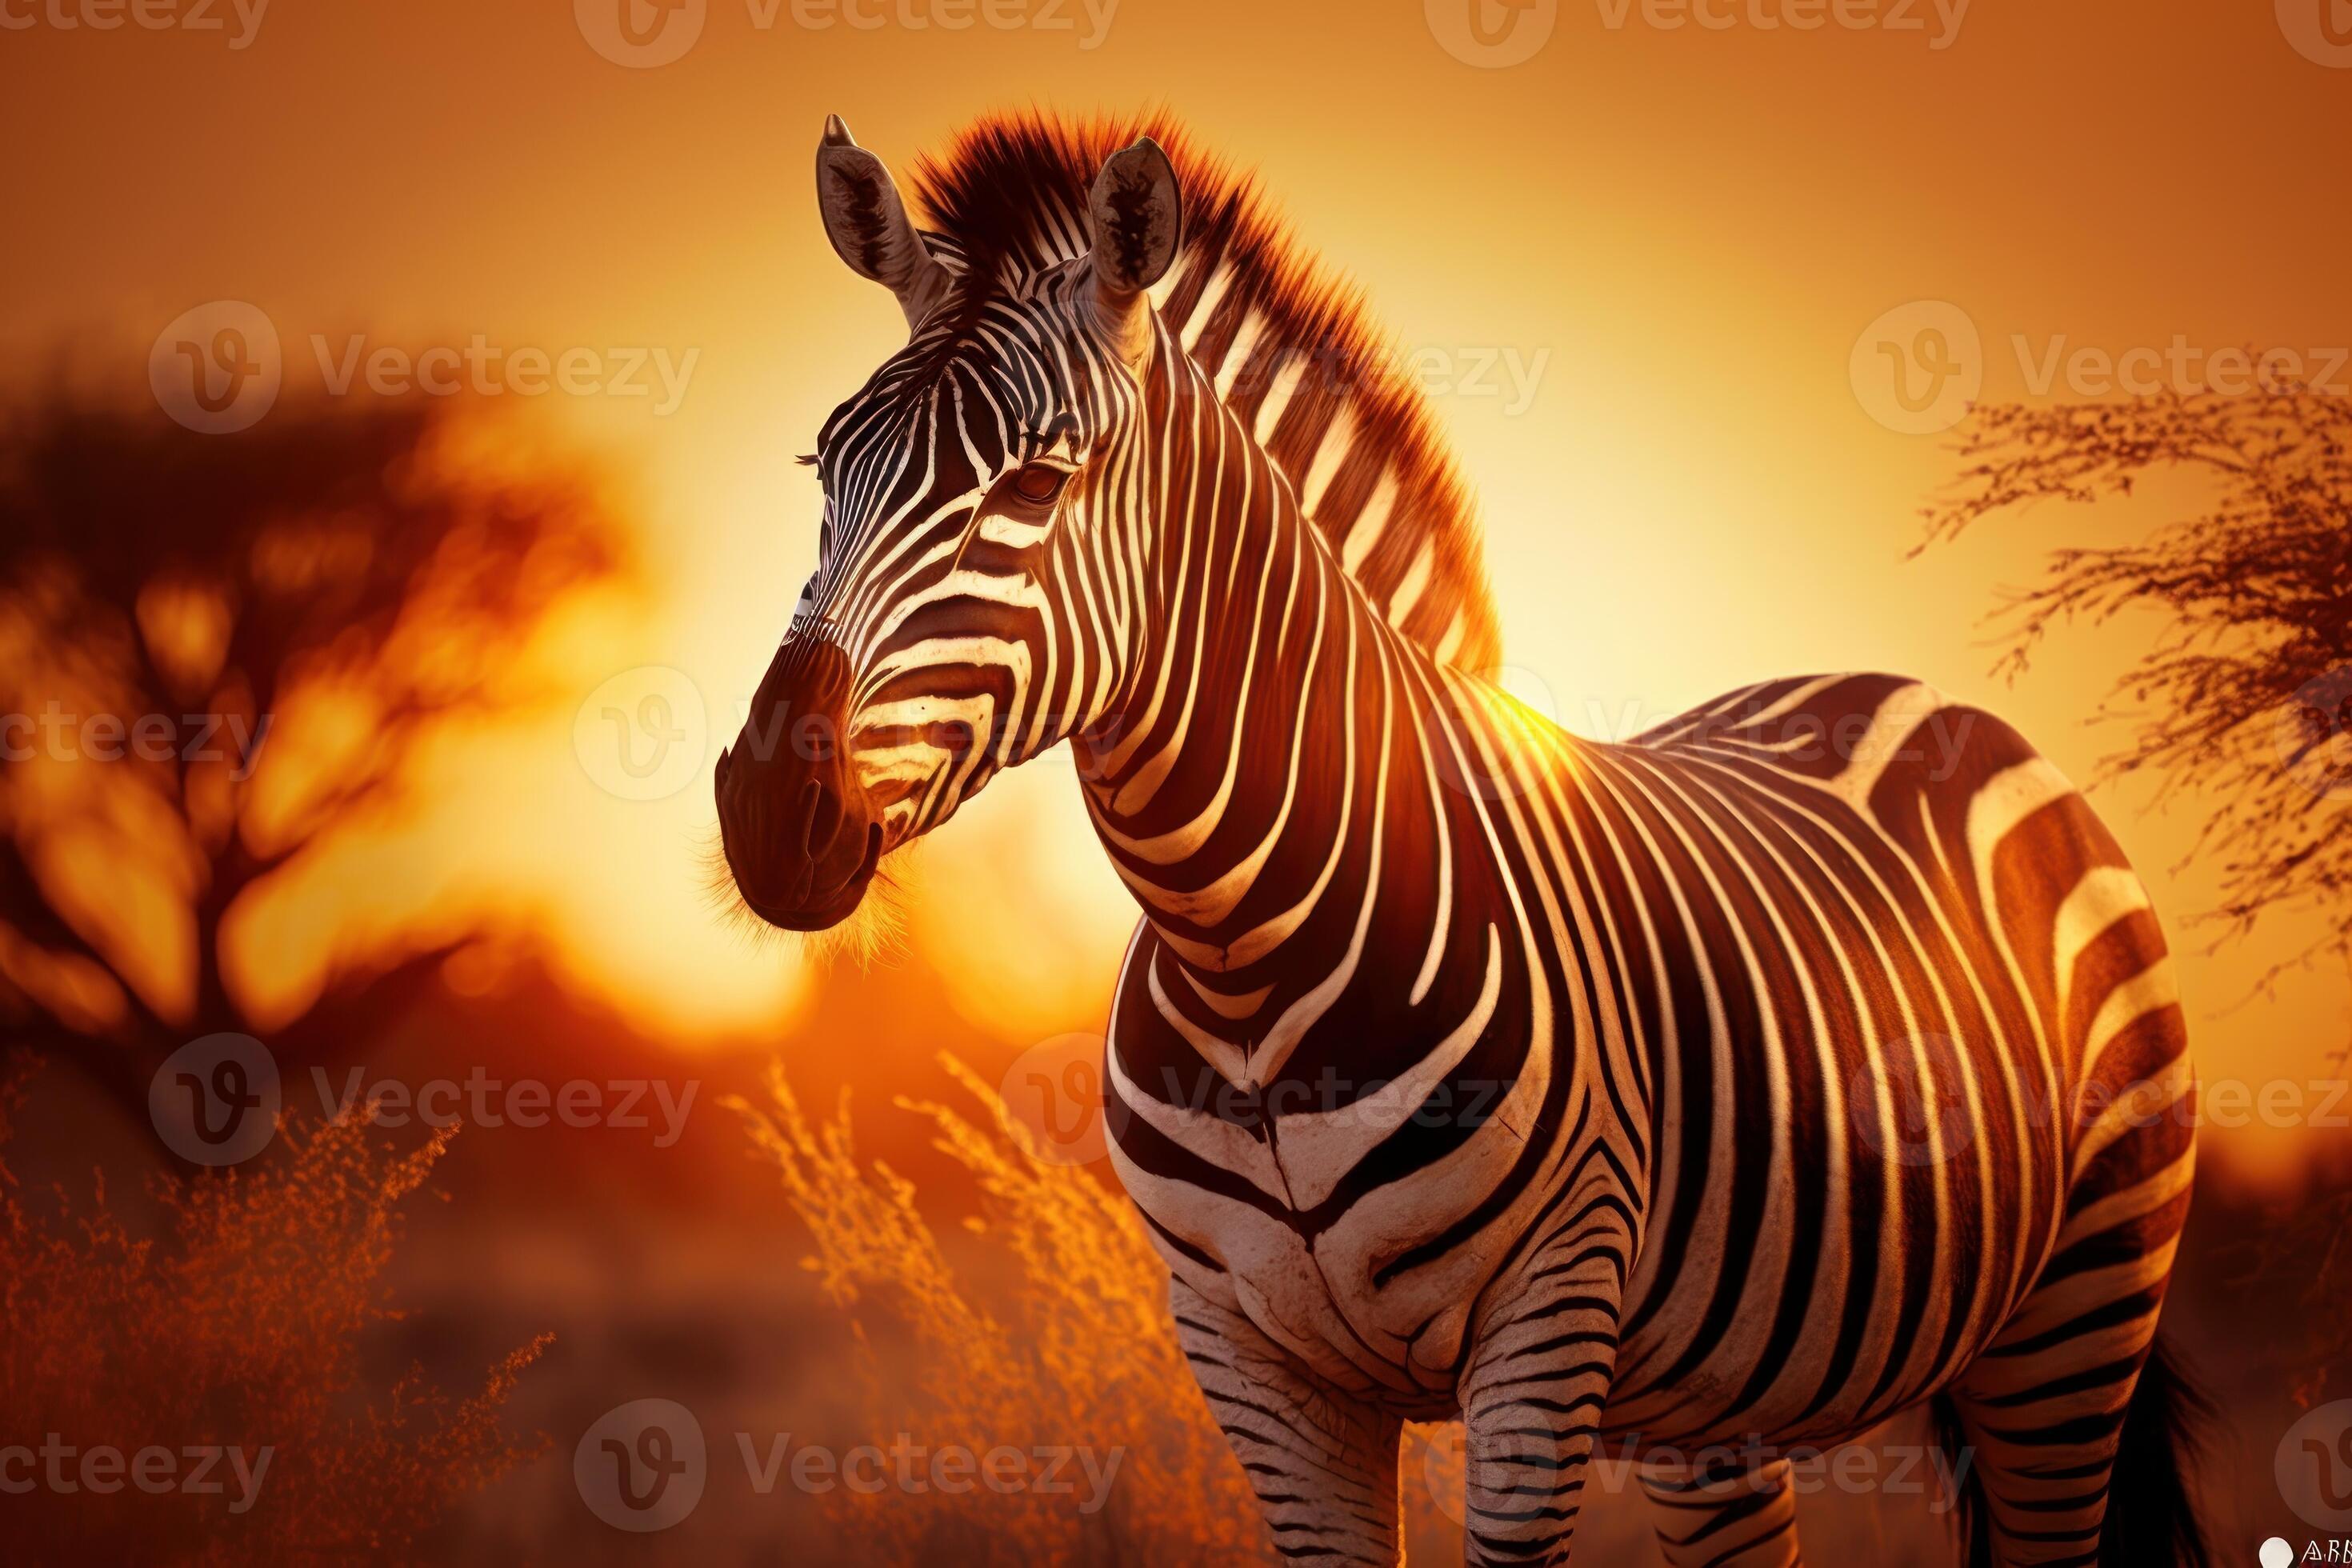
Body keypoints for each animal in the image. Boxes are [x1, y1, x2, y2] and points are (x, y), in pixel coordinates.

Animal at [713, 111, 2207, 1566]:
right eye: (822, 467)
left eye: (1035, 484)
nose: (769, 814)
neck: (1244, 954)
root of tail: (1901, 691)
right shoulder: (1252, 1364)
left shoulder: (1544, 1333)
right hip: (1725, 1392)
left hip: (2081, 1309)